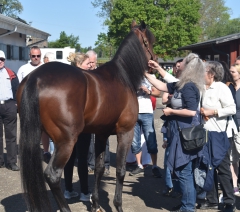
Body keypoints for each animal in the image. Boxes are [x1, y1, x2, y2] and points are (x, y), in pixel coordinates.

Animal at [16, 20, 156, 211]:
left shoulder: (102, 134)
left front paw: (95, 203)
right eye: (149, 41)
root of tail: (35, 78)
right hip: (66, 142)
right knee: (53, 175)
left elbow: (99, 168)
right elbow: (120, 170)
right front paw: (118, 205)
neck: (122, 76)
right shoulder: (125, 133)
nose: (155, 61)